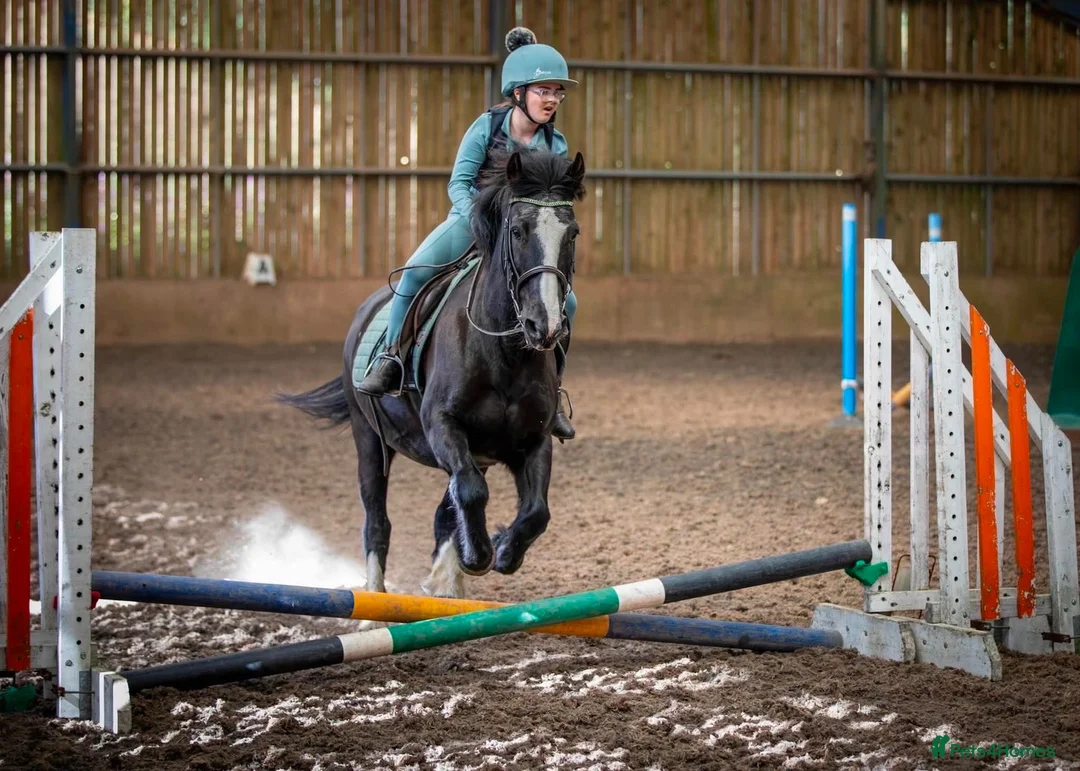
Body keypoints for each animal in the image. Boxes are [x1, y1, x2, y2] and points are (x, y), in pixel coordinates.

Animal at [276, 147, 586, 599]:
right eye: (517, 230)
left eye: (572, 233)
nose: (543, 326)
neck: (503, 354)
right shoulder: (442, 424)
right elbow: (471, 491)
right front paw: (478, 557)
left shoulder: (534, 439)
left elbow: (535, 512)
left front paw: (501, 550)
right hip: (368, 439)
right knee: (378, 521)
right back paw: (379, 596)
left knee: (448, 508)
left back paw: (447, 580)